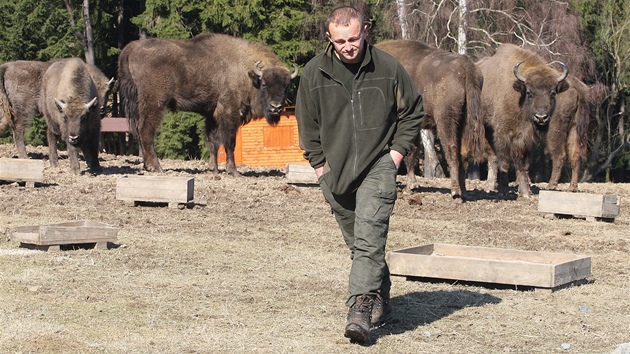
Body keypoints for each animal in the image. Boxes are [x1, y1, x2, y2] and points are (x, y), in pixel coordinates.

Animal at [119, 33, 302, 174]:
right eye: (264, 84)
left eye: (286, 86)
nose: (276, 107)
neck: (246, 71)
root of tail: (133, 47)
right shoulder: (229, 112)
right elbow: (229, 142)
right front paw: (233, 171)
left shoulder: (212, 115)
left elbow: (213, 142)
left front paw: (213, 169)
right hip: (155, 103)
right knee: (146, 131)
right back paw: (157, 167)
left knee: (139, 131)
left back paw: (147, 166)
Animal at [376, 40, 488, 199]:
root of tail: (466, 66)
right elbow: (412, 151)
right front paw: (411, 186)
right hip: (465, 121)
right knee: (463, 153)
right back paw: (463, 191)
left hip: (445, 120)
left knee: (451, 148)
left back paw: (455, 192)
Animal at [478, 43, 572, 198]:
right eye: (529, 92)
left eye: (553, 93)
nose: (541, 117)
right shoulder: (503, 134)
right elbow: (505, 163)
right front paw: (504, 190)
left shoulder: (528, 140)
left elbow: (524, 166)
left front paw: (526, 192)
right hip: (485, 129)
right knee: (493, 158)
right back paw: (490, 186)